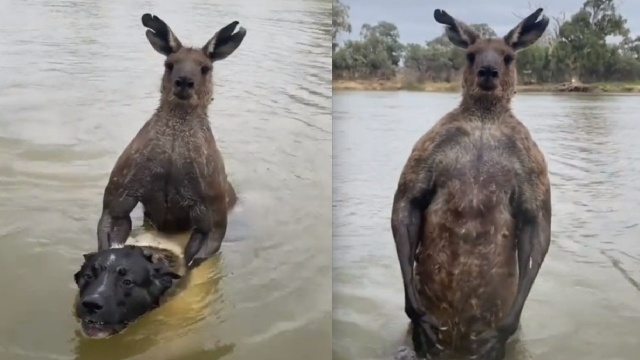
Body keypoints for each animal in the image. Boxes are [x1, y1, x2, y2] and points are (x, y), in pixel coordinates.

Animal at [96, 15, 246, 268]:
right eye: (170, 64)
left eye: (205, 68)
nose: (184, 81)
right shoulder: (119, 198)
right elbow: (110, 235)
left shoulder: (212, 214)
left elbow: (196, 258)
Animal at [392, 7, 552, 360]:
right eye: (470, 54)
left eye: (508, 57)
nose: (488, 71)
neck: (483, 122)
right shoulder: (427, 149)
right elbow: (407, 204)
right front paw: (418, 313)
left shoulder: (534, 167)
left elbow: (538, 226)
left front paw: (502, 331)